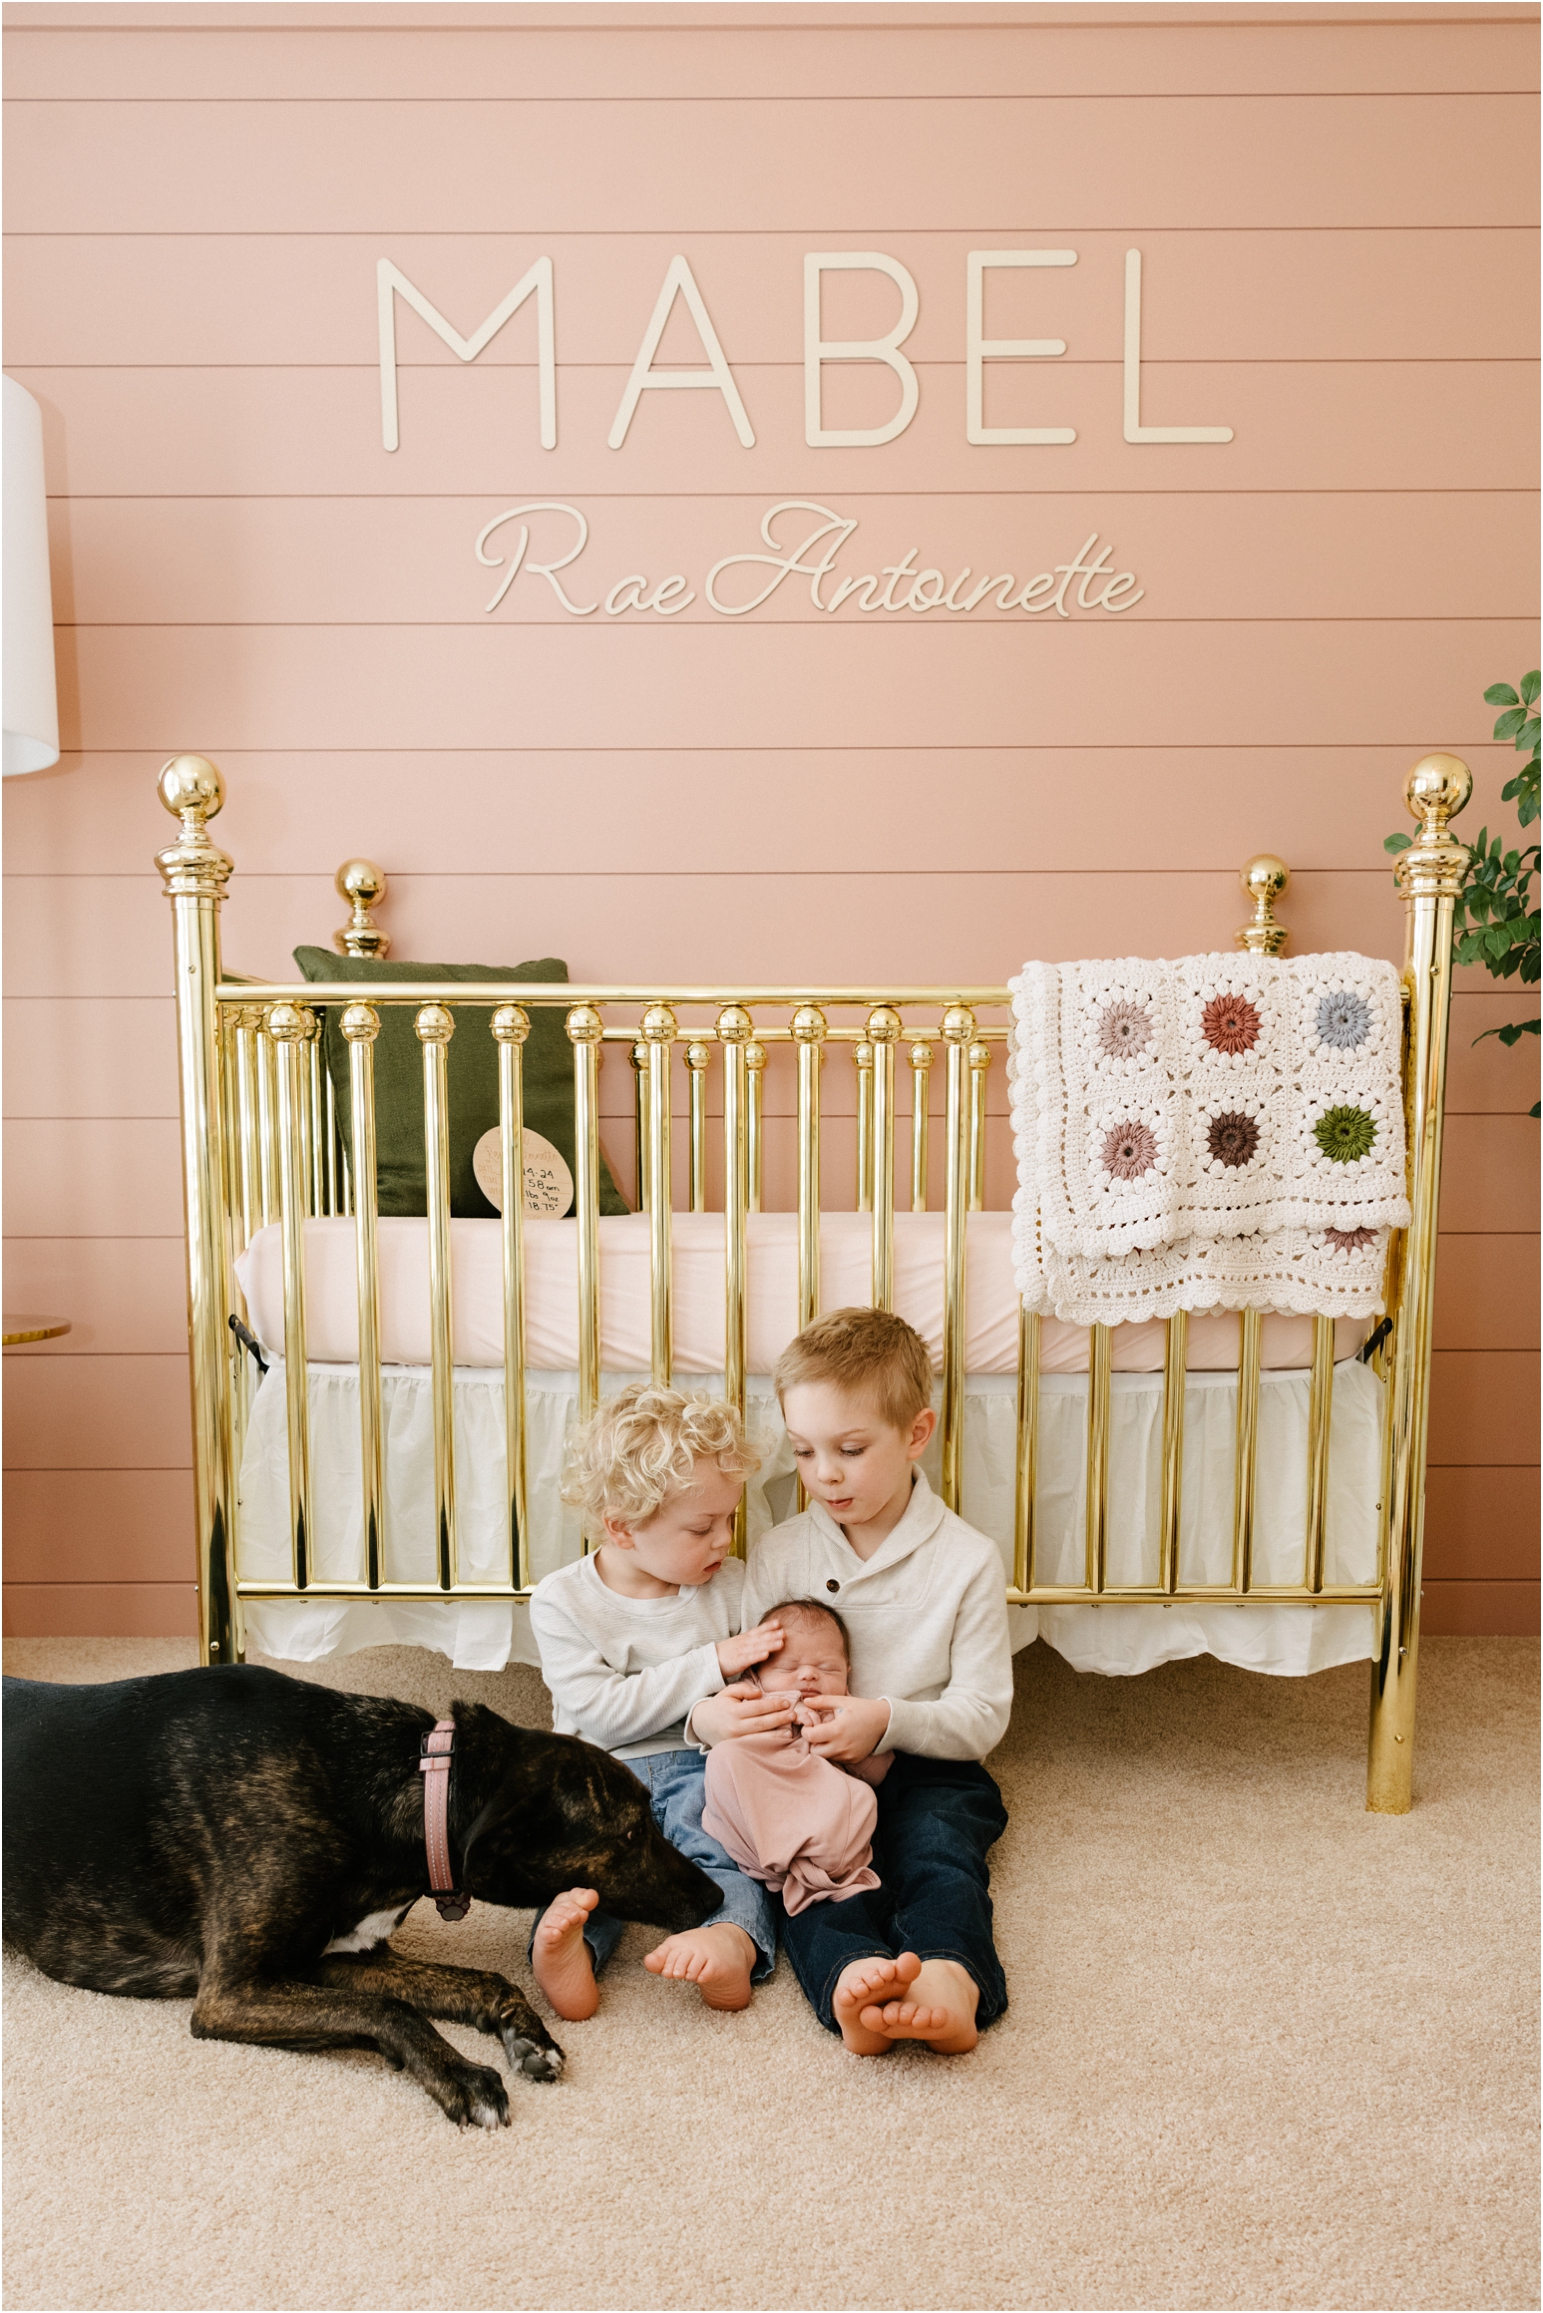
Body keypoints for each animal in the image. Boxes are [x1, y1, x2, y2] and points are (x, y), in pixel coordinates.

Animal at [3, 1665, 717, 2127]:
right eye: (632, 1831)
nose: (715, 1897)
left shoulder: (340, 1958)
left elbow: (478, 1980)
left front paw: (525, 2033)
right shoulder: (232, 1992)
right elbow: (391, 2011)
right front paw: (462, 2074)